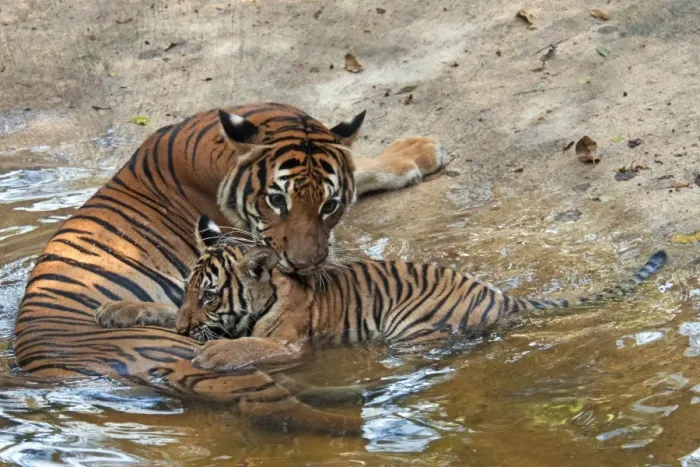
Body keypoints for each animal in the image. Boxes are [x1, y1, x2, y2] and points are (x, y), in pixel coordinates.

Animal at [14, 103, 446, 435]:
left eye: (329, 205)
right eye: (276, 200)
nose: (303, 265)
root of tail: (48, 373)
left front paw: (418, 150)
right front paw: (421, 150)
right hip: (190, 353)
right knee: (271, 399)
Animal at [96, 215, 668, 375]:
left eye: (214, 297)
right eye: (193, 292)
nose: (183, 330)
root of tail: (501, 295)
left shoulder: (289, 343)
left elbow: (248, 345)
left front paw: (214, 352)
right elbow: (158, 303)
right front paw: (117, 309)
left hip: (410, 328)